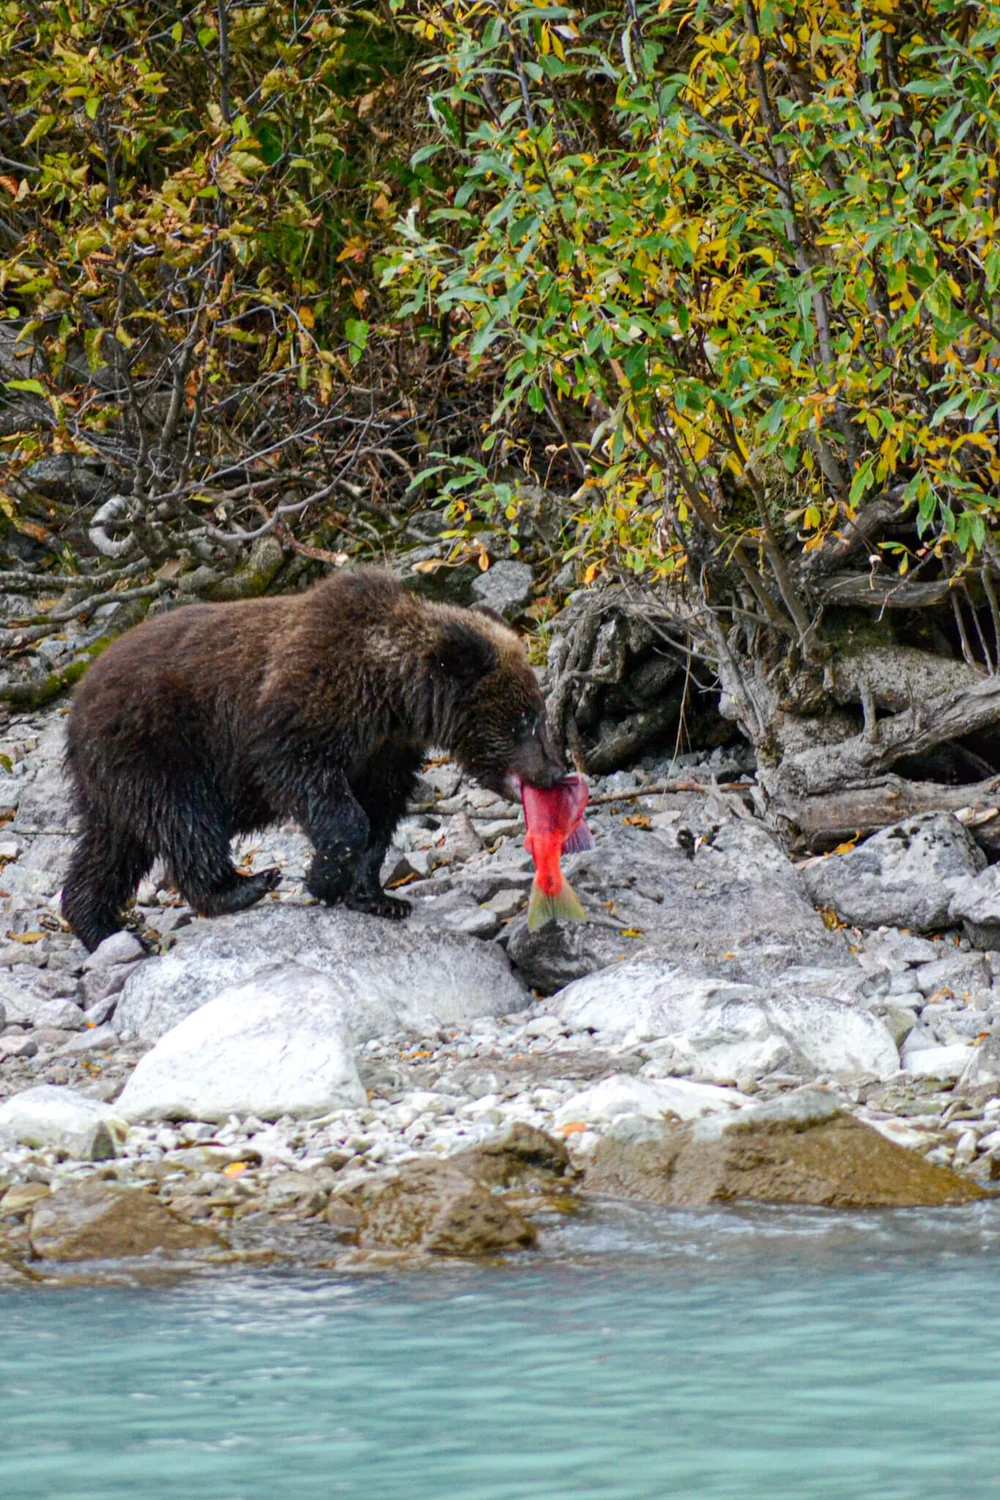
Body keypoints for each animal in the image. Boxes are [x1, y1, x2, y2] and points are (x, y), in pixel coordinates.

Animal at [61, 566, 563, 951]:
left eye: (536, 713)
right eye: (524, 720)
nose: (555, 770)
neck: (391, 697)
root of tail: (79, 695)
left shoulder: (385, 753)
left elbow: (380, 815)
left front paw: (378, 897)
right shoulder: (305, 712)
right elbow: (323, 795)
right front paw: (322, 877)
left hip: (115, 779)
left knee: (111, 847)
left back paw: (98, 923)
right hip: (158, 745)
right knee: (186, 820)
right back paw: (243, 885)